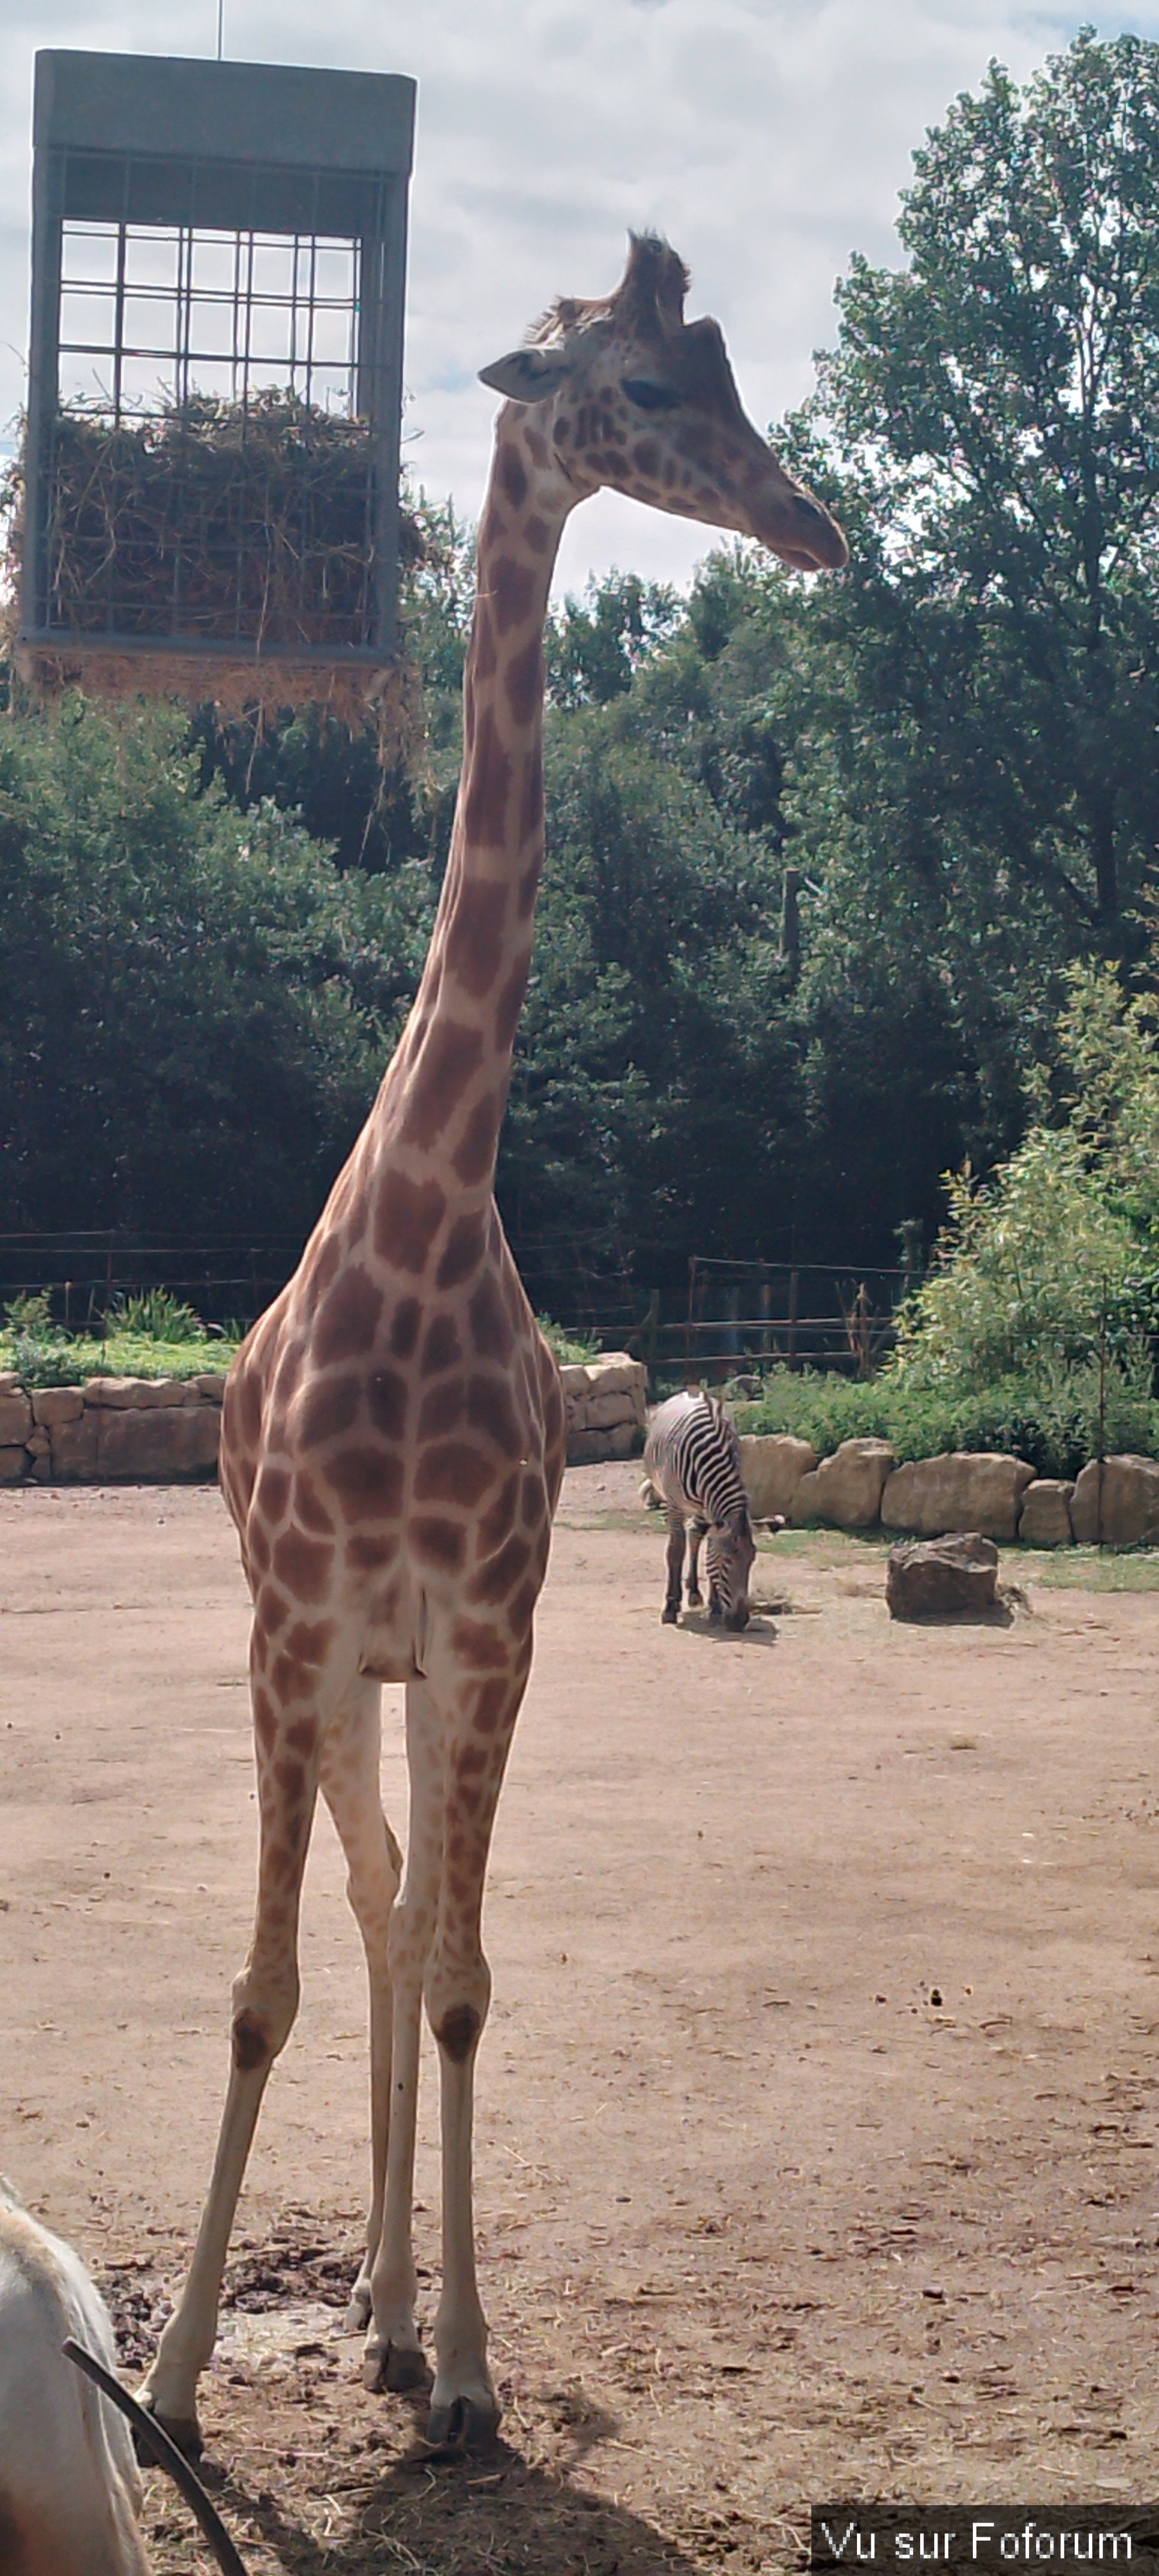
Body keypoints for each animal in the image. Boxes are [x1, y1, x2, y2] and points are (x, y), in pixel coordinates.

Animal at [644, 1391, 762, 1628]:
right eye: (727, 1560)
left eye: (752, 1559)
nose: (740, 1621)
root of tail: (691, 1392)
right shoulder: (674, 1504)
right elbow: (675, 1551)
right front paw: (670, 1607)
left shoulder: (712, 1508)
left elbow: (709, 1549)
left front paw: (715, 1604)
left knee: (696, 1534)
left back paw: (694, 1592)